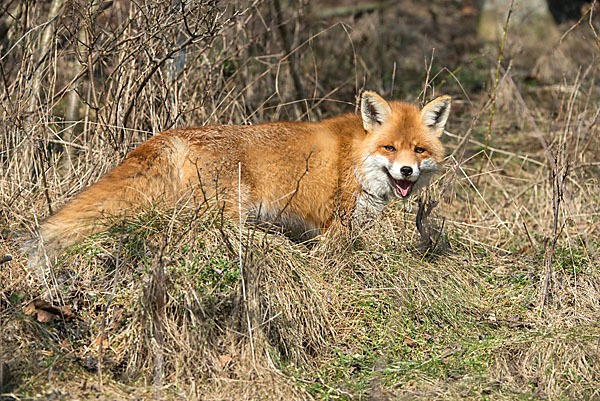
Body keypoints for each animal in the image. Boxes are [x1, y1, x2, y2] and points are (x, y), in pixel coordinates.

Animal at [24, 90, 450, 262]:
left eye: (419, 151)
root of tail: (173, 134)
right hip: (230, 211)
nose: (407, 171)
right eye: (390, 148)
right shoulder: (335, 227)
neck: (356, 157)